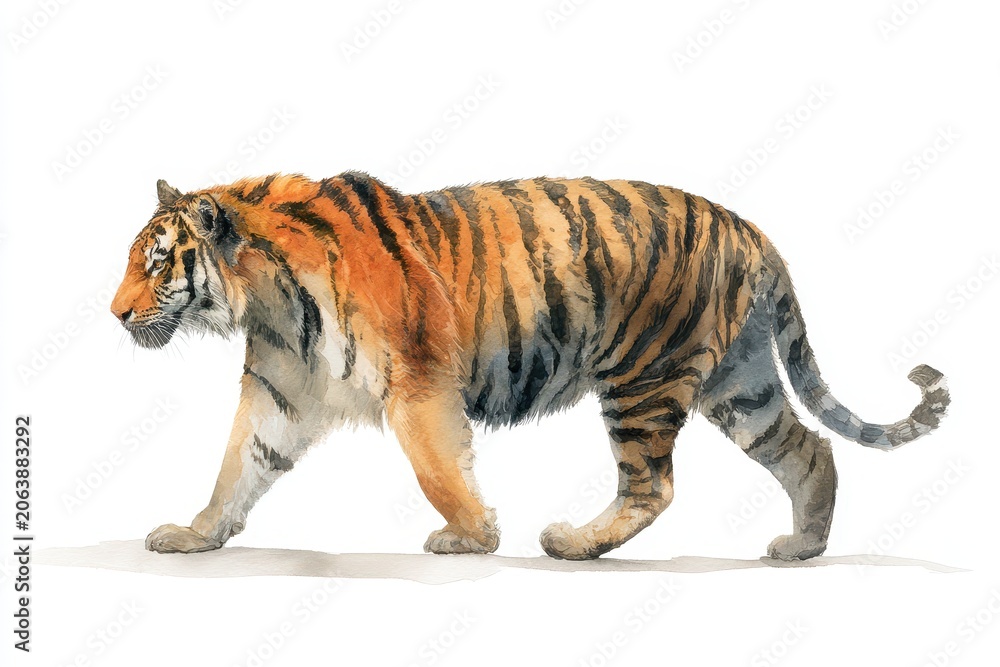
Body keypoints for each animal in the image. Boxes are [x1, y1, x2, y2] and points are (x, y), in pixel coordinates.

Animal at [110, 172, 949, 561]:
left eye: (156, 264)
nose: (115, 313)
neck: (267, 296)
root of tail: (750, 229)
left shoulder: (419, 383)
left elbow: (437, 466)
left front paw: (473, 536)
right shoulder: (280, 390)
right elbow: (236, 466)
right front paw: (195, 533)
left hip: (641, 377)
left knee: (653, 484)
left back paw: (572, 543)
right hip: (741, 385)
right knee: (810, 448)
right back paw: (803, 546)